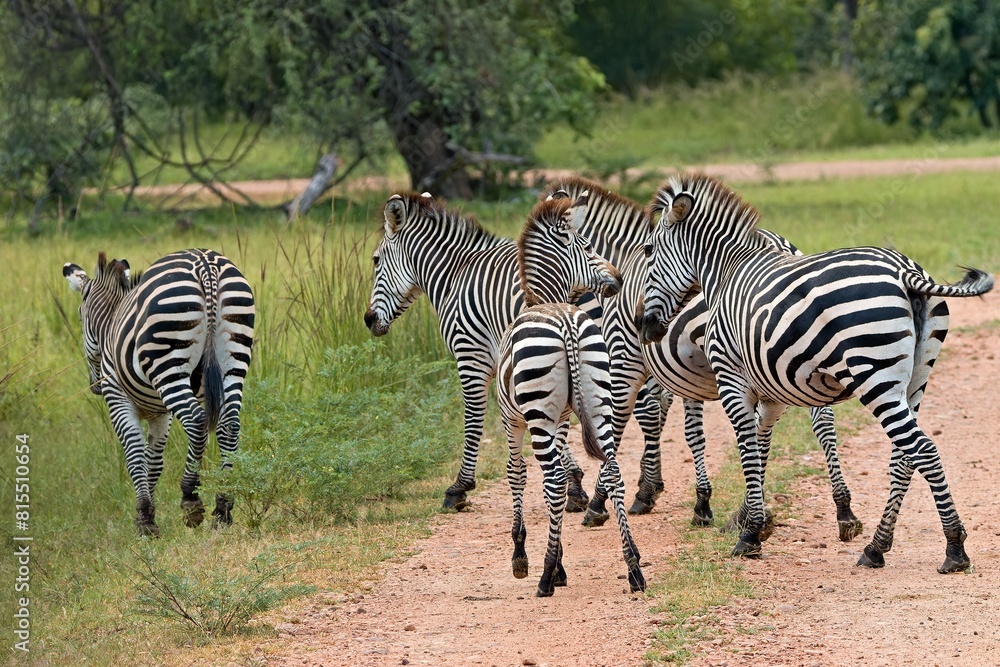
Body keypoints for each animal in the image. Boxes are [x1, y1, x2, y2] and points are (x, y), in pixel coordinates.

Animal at [63, 249, 255, 535]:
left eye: (79, 317)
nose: (95, 385)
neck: (111, 323)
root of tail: (206, 264)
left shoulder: (118, 399)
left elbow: (134, 456)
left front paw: (144, 520)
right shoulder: (160, 414)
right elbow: (153, 461)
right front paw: (148, 514)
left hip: (168, 362)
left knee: (196, 421)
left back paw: (190, 498)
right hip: (233, 357)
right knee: (229, 425)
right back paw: (223, 507)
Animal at [364, 192, 592, 512]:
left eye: (375, 260)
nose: (368, 319)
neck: (454, 276)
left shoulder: (470, 355)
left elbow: (473, 417)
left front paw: (460, 487)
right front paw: (576, 483)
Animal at [496, 195, 644, 596]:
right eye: (590, 247)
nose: (619, 278)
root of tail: (565, 322)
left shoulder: (512, 420)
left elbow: (518, 474)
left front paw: (524, 558)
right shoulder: (562, 420)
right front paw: (561, 562)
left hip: (537, 415)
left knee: (551, 480)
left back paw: (545, 576)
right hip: (600, 401)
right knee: (612, 470)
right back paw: (634, 567)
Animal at [546, 179, 866, 542]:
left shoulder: (627, 359)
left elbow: (631, 422)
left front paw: (614, 497)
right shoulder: (686, 375)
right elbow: (685, 428)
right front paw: (675, 492)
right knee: (817, 422)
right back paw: (837, 510)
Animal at [637, 173, 993, 572]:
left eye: (648, 250)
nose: (644, 327)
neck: (727, 274)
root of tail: (905, 271)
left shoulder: (731, 378)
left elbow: (747, 445)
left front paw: (749, 534)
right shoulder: (770, 388)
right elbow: (761, 443)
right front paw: (755, 521)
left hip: (875, 376)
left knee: (923, 450)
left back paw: (954, 548)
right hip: (916, 379)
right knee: (904, 456)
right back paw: (876, 547)